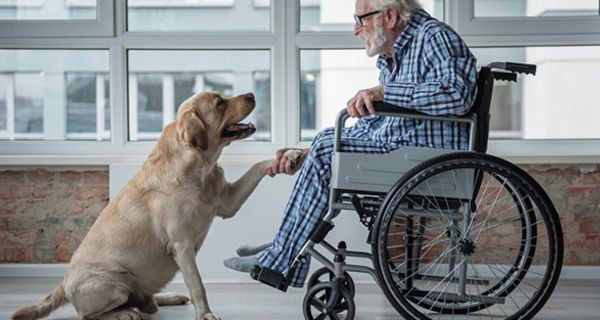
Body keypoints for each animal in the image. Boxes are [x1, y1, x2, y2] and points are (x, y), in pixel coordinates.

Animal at [12, 91, 274, 320]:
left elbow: (258, 165)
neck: (200, 167)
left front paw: (283, 157)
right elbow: (198, 285)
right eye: (220, 103)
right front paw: (205, 315)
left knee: (148, 300)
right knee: (88, 314)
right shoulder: (181, 245)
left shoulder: (228, 202)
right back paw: (125, 313)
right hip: (117, 283)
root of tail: (64, 282)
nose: (251, 94)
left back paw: (167, 297)